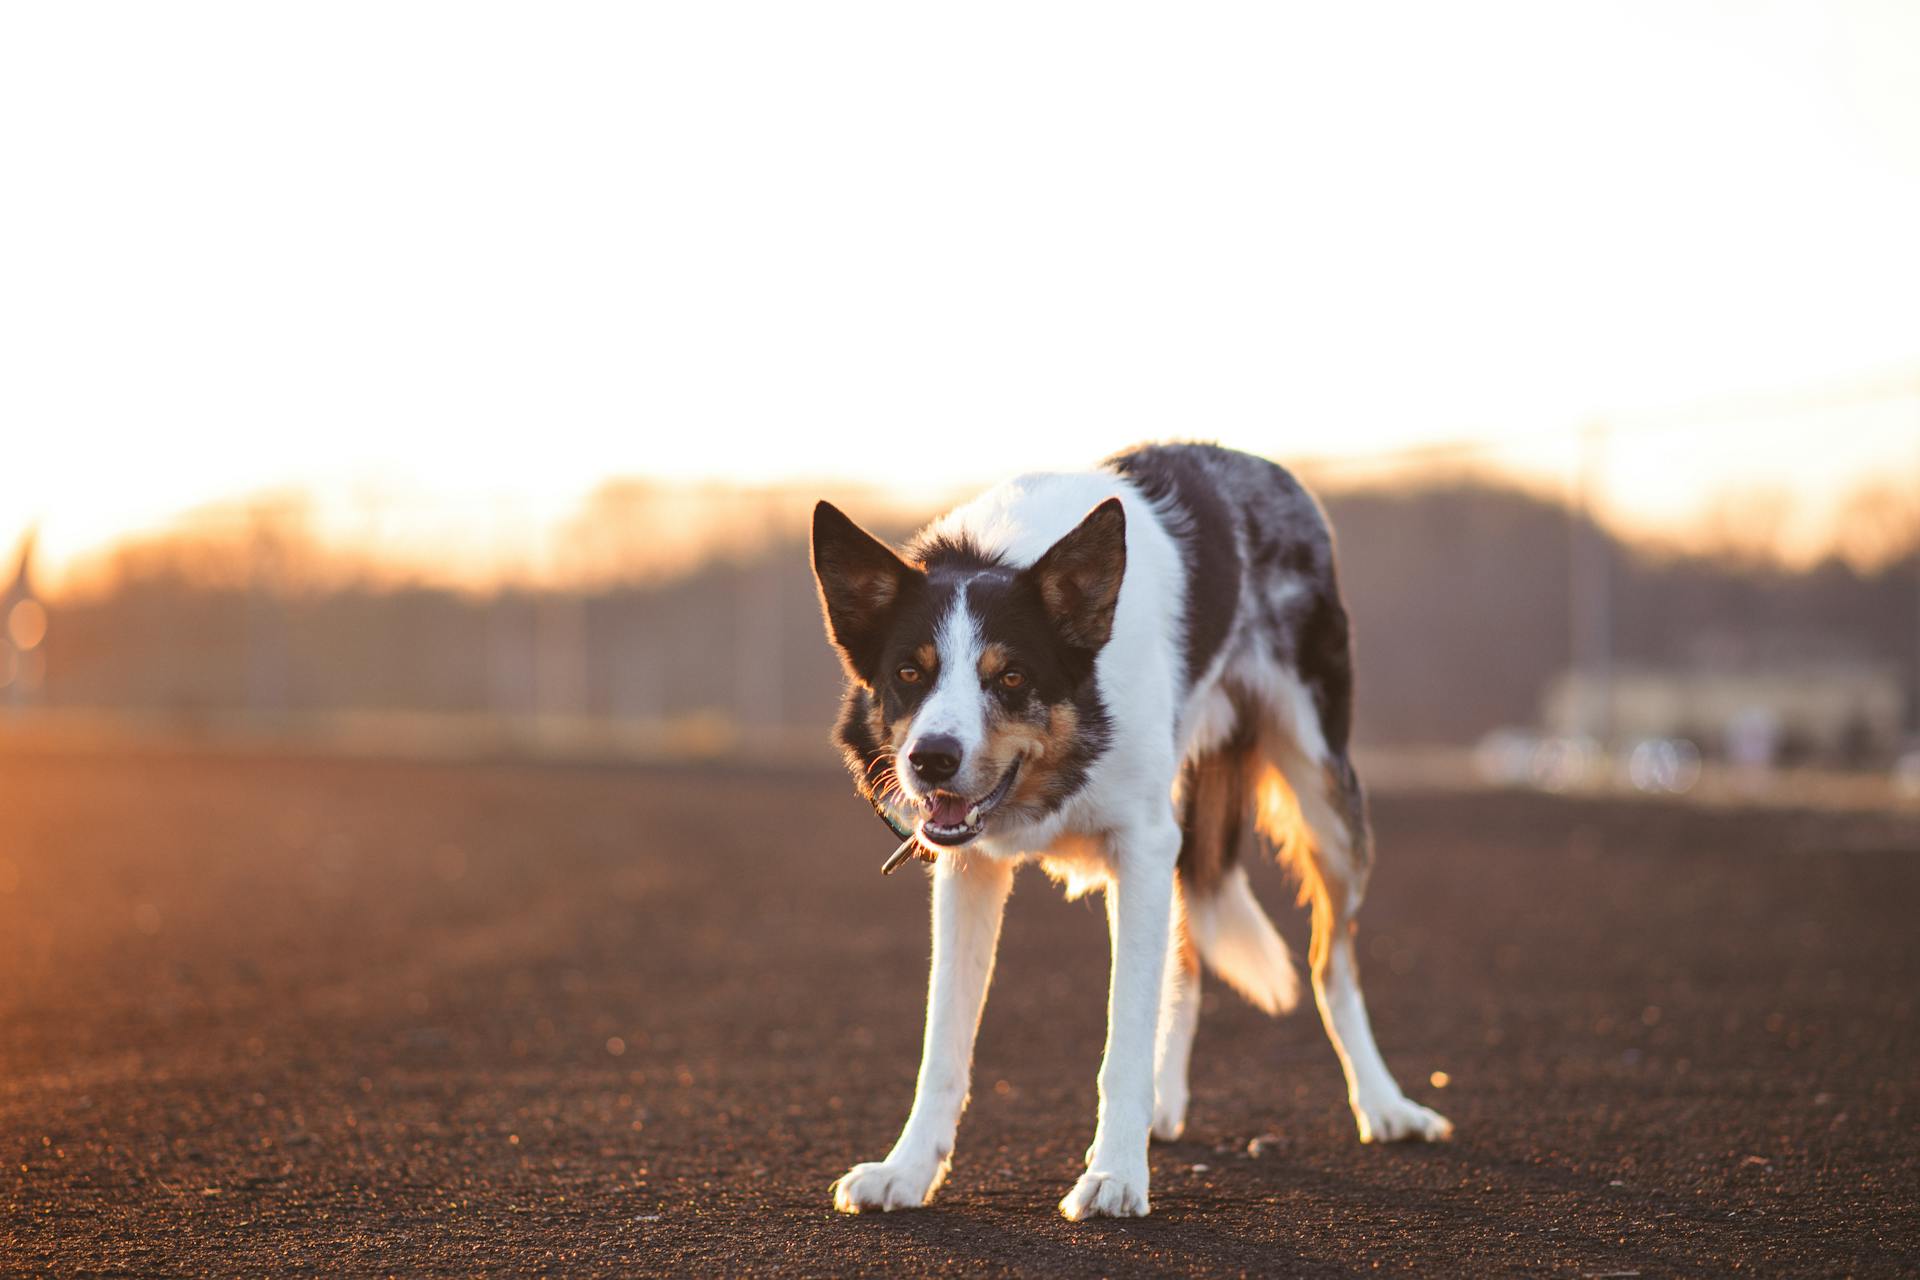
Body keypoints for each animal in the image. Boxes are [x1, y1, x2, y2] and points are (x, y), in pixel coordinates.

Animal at [810, 441, 1451, 1220]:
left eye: (1012, 677)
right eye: (909, 672)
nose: (932, 758)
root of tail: (1259, 464)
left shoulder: (1140, 849)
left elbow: (1124, 1041)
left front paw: (1115, 1174)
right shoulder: (971, 870)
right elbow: (944, 1044)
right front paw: (906, 1172)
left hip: (1324, 795)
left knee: (1332, 962)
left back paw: (1386, 1105)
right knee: (1188, 961)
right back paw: (1167, 1104)